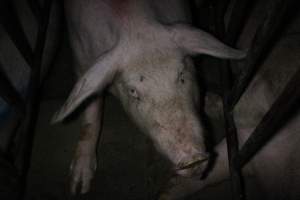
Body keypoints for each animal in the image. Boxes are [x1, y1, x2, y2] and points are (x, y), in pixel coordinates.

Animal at [51, 0, 244, 195]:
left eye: (182, 75)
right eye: (133, 91)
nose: (193, 158)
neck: (134, 24)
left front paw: (218, 106)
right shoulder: (81, 61)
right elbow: (91, 115)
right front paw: (78, 187)